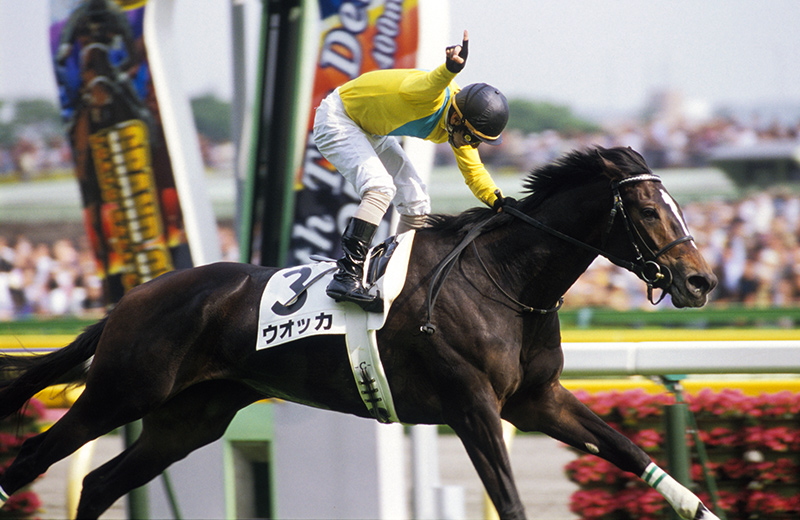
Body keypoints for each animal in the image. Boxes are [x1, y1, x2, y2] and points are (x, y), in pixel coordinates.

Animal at [0, 147, 718, 519]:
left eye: (680, 204)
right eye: (649, 208)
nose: (702, 279)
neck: (508, 281)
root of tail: (131, 297)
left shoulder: (537, 401)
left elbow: (628, 450)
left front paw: (700, 508)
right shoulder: (473, 405)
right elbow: (509, 499)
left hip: (187, 420)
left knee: (99, 484)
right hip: (121, 392)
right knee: (35, 457)